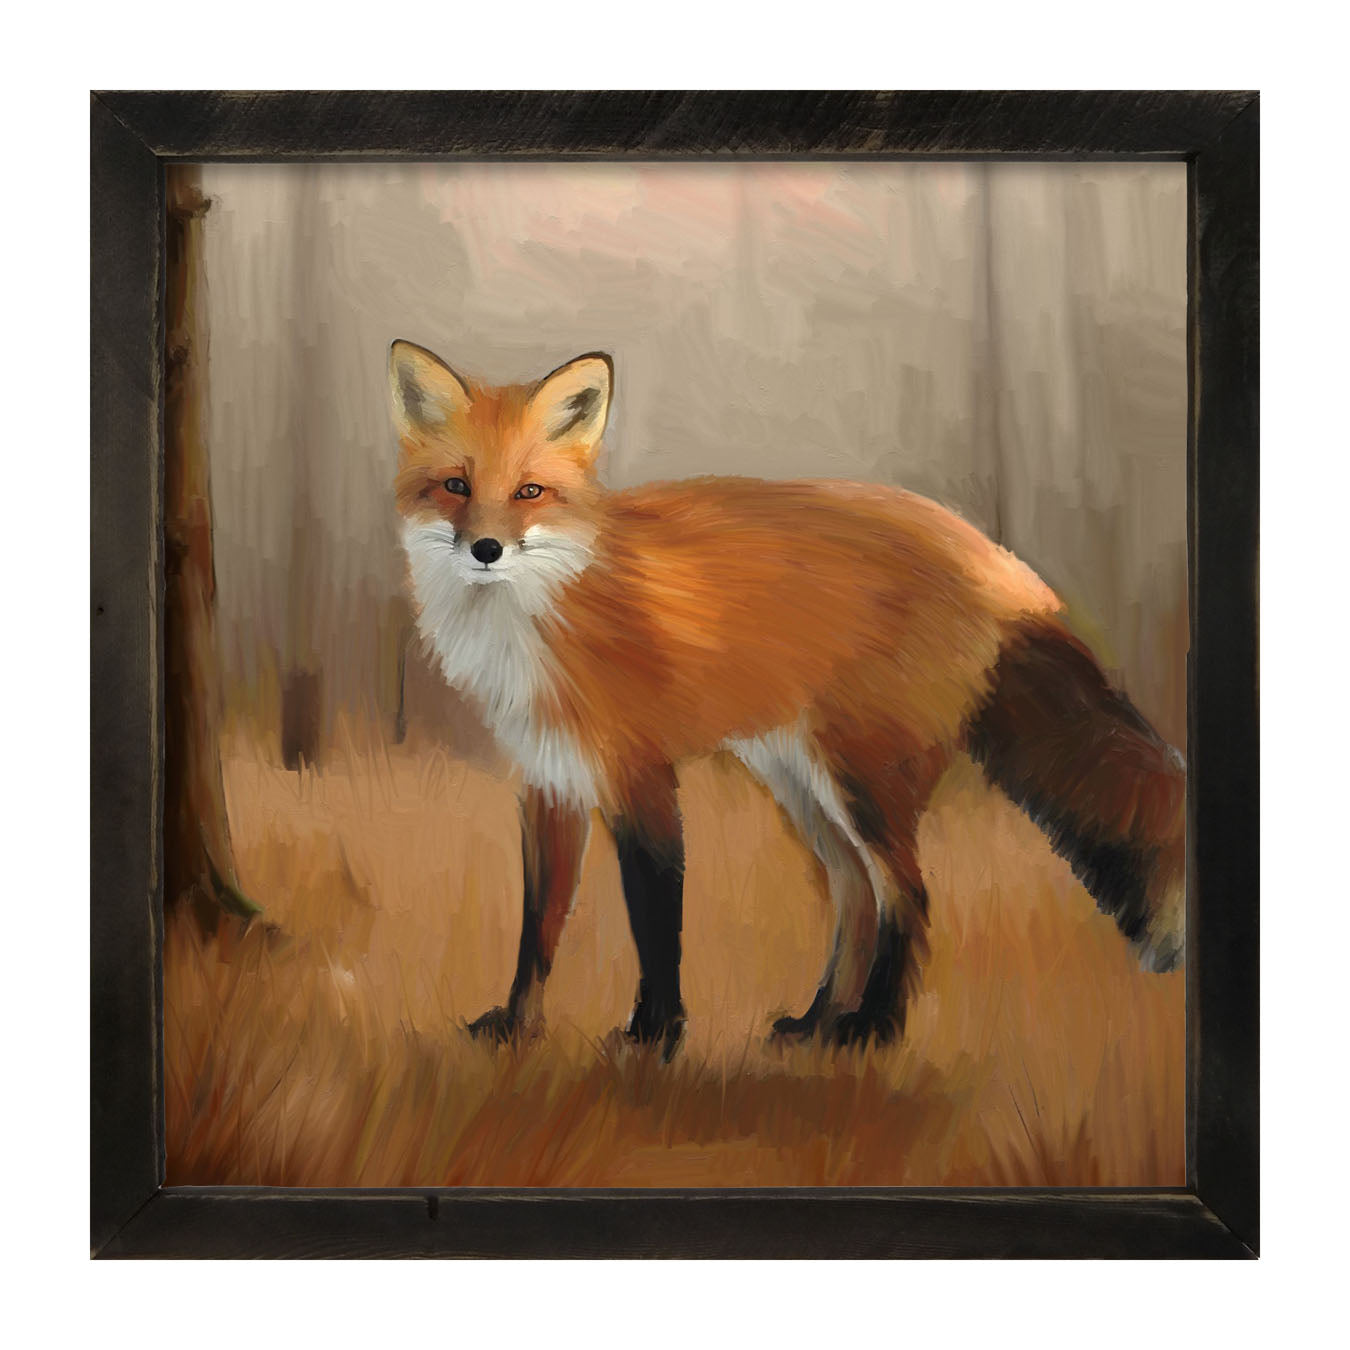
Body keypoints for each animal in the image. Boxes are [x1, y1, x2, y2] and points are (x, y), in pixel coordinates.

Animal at [387, 340, 1187, 1055]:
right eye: (456, 486)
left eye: (529, 491)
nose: (486, 549)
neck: (543, 611)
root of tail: (994, 557)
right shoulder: (550, 781)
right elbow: (539, 928)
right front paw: (517, 1029)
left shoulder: (641, 777)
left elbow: (655, 920)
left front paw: (655, 1036)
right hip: (802, 782)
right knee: (855, 893)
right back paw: (817, 1022)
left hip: (861, 779)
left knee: (909, 895)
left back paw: (873, 1030)